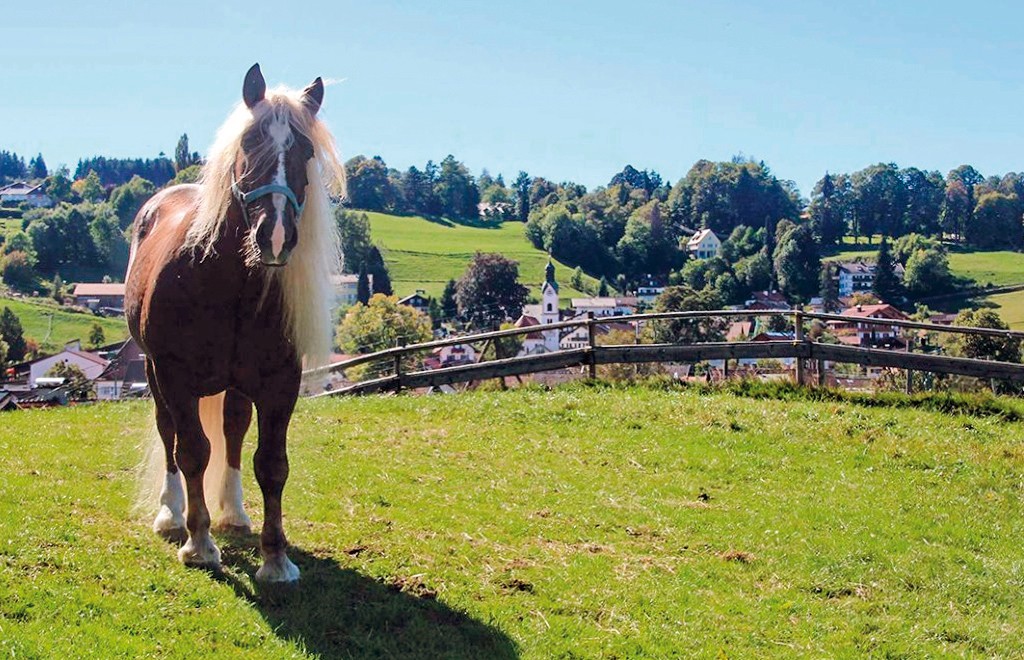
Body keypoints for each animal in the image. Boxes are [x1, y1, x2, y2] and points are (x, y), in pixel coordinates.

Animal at [126, 64, 344, 581]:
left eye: (306, 151)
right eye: (250, 142)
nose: (276, 236)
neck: (227, 284)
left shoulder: (279, 381)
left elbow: (270, 462)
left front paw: (276, 558)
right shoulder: (174, 375)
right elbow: (191, 451)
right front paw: (199, 543)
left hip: (238, 385)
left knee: (232, 432)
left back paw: (236, 513)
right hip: (154, 375)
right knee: (168, 433)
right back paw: (171, 514)